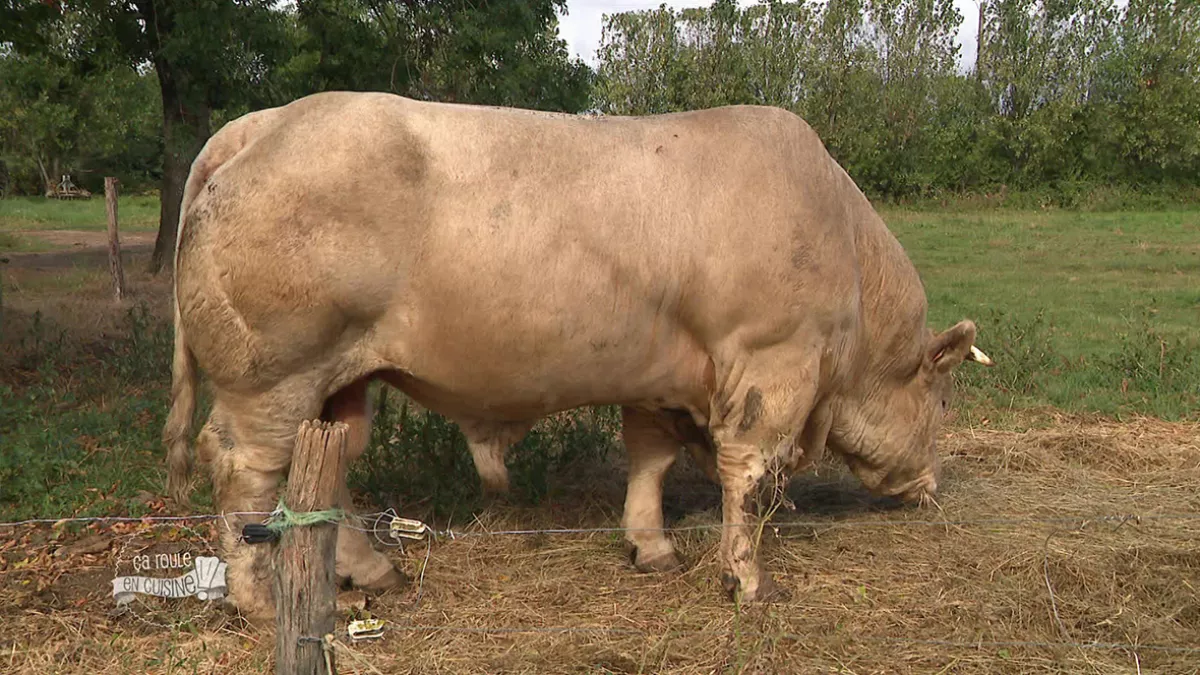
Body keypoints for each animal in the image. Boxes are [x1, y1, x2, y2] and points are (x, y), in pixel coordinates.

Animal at [169, 91, 993, 619]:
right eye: (944, 398)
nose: (931, 484)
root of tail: (265, 121)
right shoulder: (774, 363)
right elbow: (748, 474)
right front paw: (747, 580)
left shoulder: (659, 376)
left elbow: (651, 458)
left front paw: (651, 546)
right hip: (273, 374)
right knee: (244, 470)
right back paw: (257, 598)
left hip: (343, 379)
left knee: (330, 466)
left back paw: (371, 569)